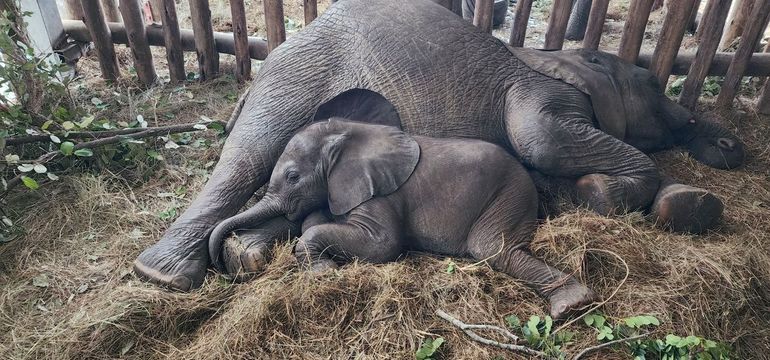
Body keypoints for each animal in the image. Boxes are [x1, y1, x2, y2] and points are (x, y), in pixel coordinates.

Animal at [134, 0, 744, 290]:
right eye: (653, 87)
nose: (733, 146)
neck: (564, 58)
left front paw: (687, 202)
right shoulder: (541, 96)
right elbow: (541, 142)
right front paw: (609, 192)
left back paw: (246, 255)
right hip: (295, 77)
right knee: (249, 155)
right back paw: (163, 276)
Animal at [207, 118, 596, 318]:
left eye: (292, 177)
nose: (220, 266)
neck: (346, 133)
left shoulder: (382, 191)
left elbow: (384, 244)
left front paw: (324, 273)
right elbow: (314, 220)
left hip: (508, 193)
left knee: (491, 247)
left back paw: (572, 304)